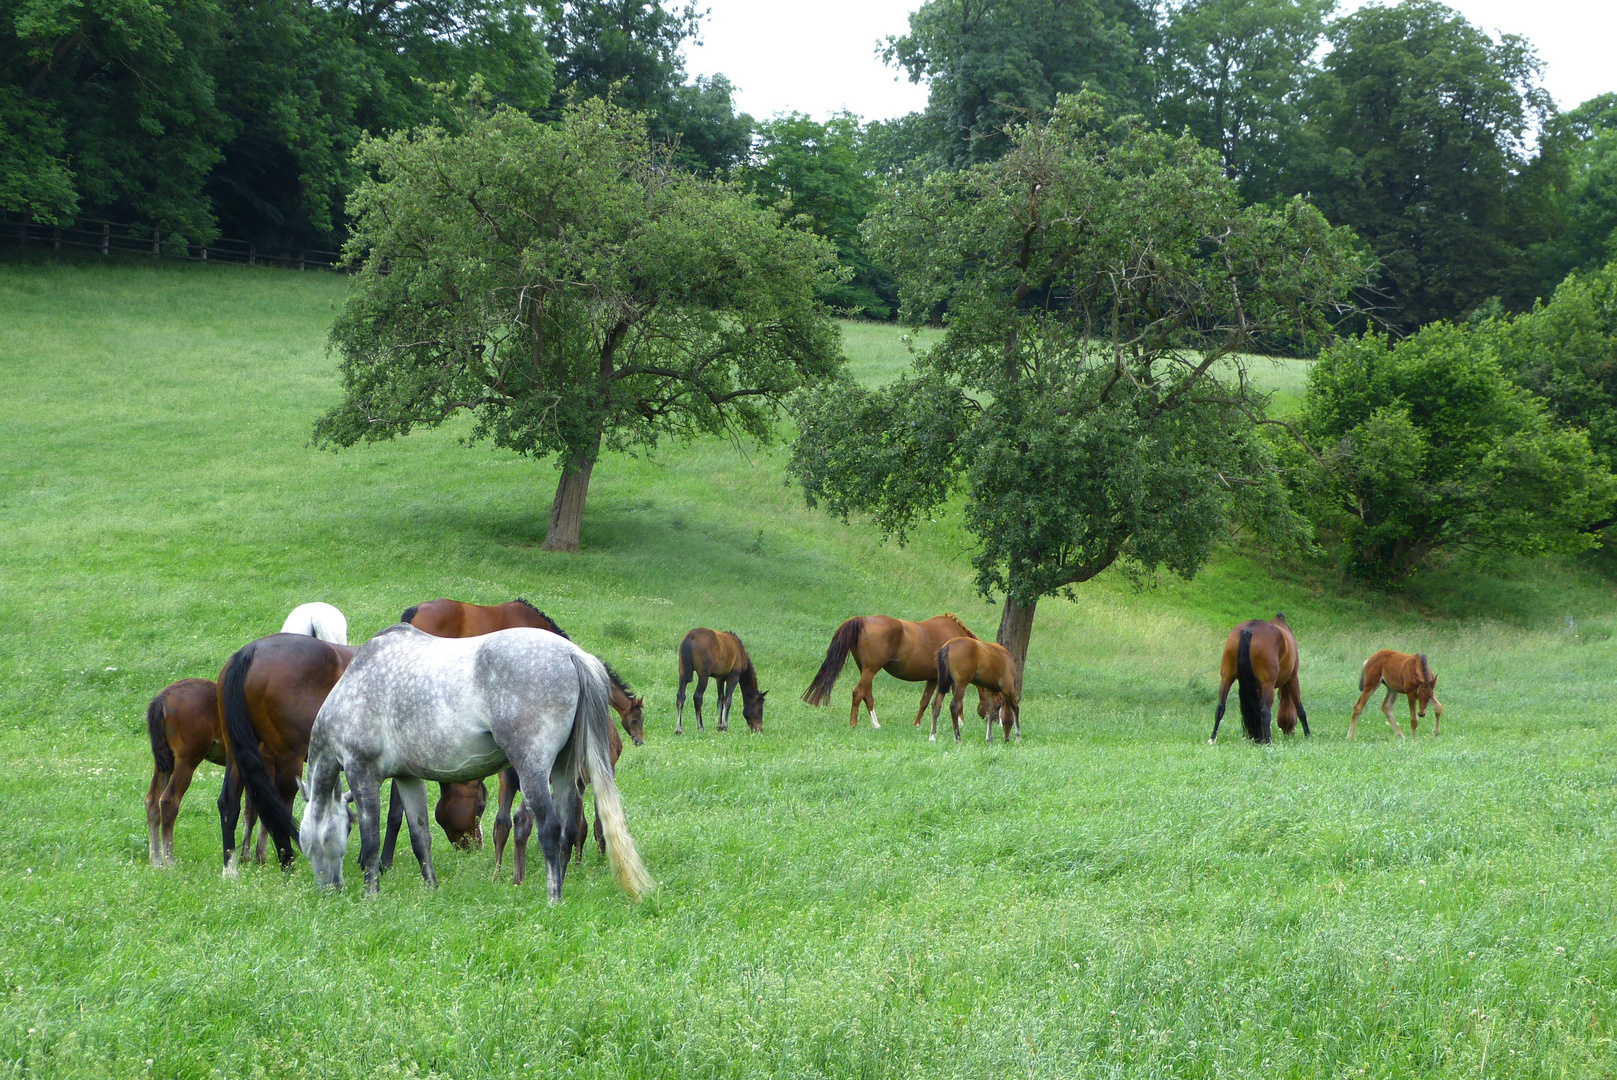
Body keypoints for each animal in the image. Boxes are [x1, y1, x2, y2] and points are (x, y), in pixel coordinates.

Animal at [218, 633, 354, 879]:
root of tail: (251, 652)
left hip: (235, 753)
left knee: (229, 803)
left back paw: (230, 869)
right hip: (288, 759)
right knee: (279, 806)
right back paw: (287, 862)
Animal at [294, 620, 653, 898]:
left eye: (313, 840)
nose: (331, 890)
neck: (354, 685)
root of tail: (571, 653)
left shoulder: (362, 774)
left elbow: (370, 841)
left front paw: (371, 896)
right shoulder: (408, 779)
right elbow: (420, 836)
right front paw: (431, 889)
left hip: (533, 771)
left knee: (549, 829)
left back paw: (553, 898)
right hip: (564, 772)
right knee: (568, 829)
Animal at [805, 611, 989, 730]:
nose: (990, 719)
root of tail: (863, 620)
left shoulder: (933, 678)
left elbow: (924, 701)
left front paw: (916, 725)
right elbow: (957, 701)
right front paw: (961, 723)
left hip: (865, 670)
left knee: (867, 695)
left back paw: (876, 725)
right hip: (871, 669)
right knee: (858, 693)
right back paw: (853, 724)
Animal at [1209, 611, 1306, 746]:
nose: (1289, 733)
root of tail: (1248, 630)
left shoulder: (1257, 688)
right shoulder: (1293, 678)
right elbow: (1300, 709)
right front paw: (1308, 735)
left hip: (1227, 677)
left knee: (1220, 707)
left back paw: (1213, 738)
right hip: (1268, 684)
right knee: (1266, 712)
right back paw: (1269, 742)